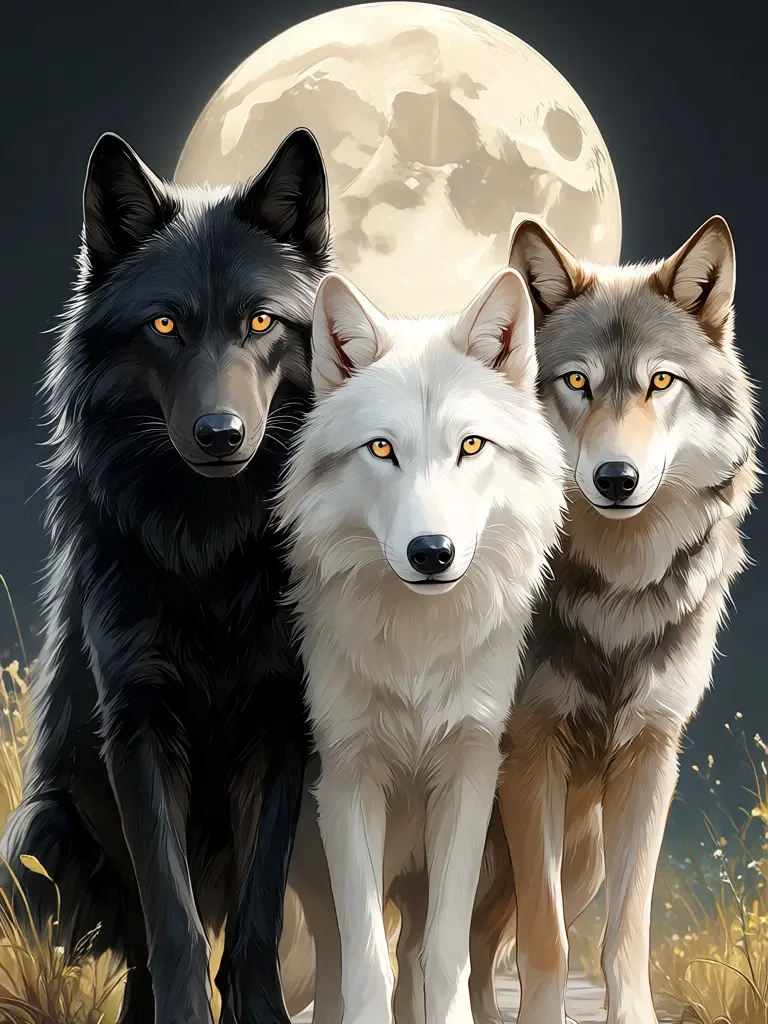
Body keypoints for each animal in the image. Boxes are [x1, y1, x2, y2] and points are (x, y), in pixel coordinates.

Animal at [0, 128, 331, 1024]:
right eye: (165, 324)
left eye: (261, 320)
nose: (220, 434)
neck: (209, 550)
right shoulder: (139, 727)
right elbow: (173, 924)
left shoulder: (281, 729)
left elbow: (252, 924)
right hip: (36, 839)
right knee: (140, 945)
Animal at [276, 267, 565, 1024]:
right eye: (383, 448)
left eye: (471, 446)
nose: (431, 553)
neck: (416, 651)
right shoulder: (348, 780)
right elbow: (364, 961)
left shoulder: (469, 775)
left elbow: (442, 953)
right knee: (339, 954)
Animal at [464, 214, 760, 1024]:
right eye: (577, 382)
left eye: (661, 381)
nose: (615, 479)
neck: (616, 592)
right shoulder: (530, 754)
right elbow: (549, 939)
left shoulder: (651, 759)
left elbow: (623, 935)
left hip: (581, 855)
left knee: (474, 943)